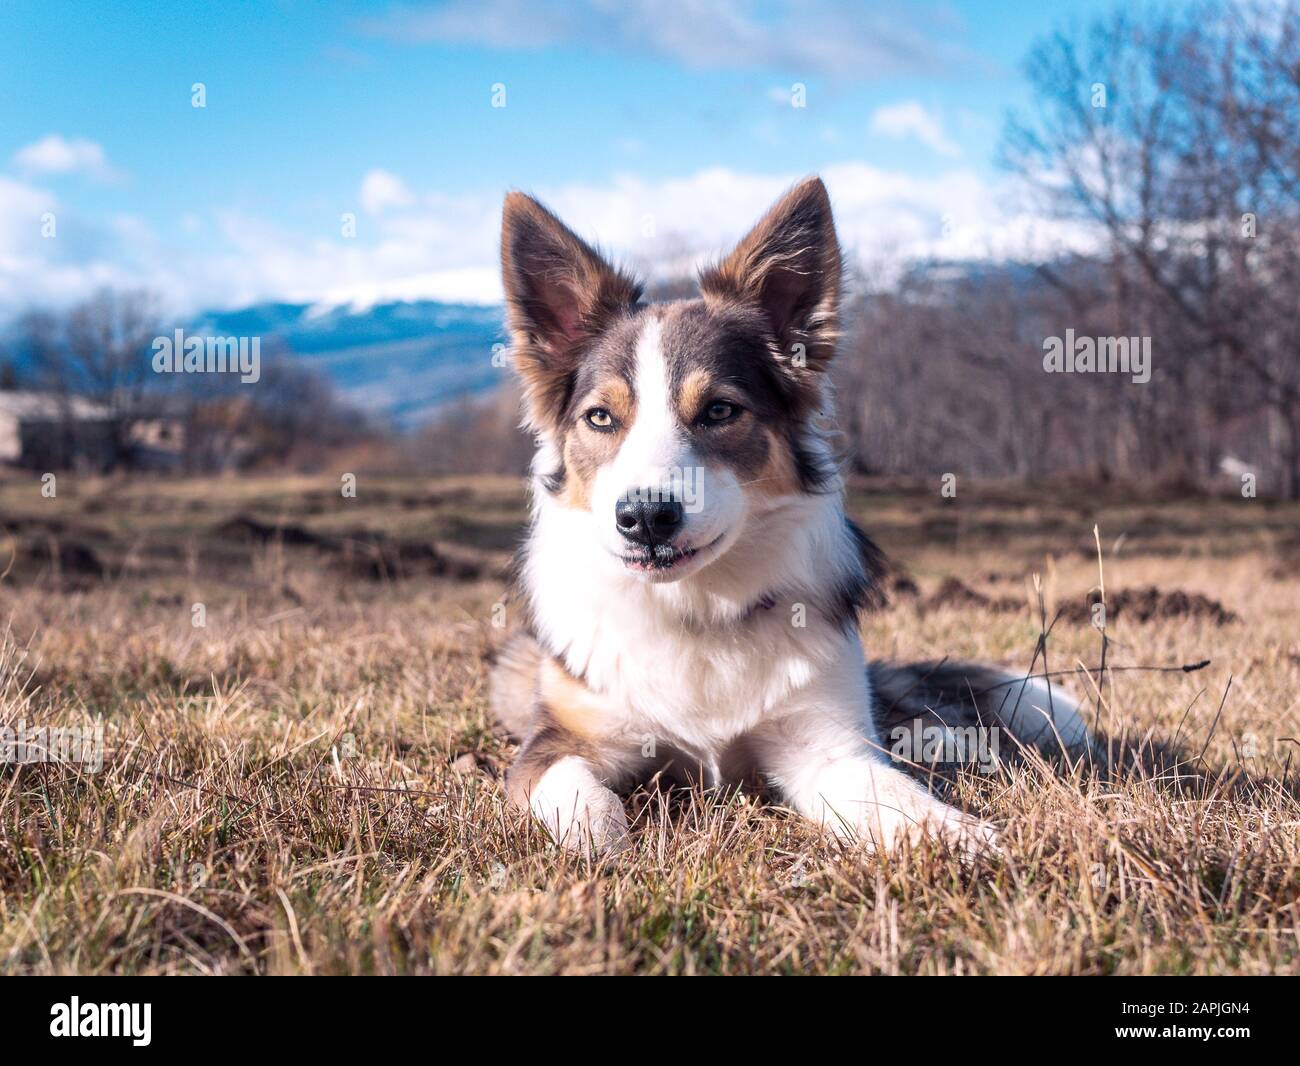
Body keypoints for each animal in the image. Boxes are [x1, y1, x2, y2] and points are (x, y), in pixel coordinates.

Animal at [488, 176, 1086, 857]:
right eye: (600, 418)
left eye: (720, 411)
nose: (644, 517)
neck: (698, 610)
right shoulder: (555, 743)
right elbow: (575, 791)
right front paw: (602, 841)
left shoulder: (827, 746)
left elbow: (900, 797)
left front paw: (969, 840)